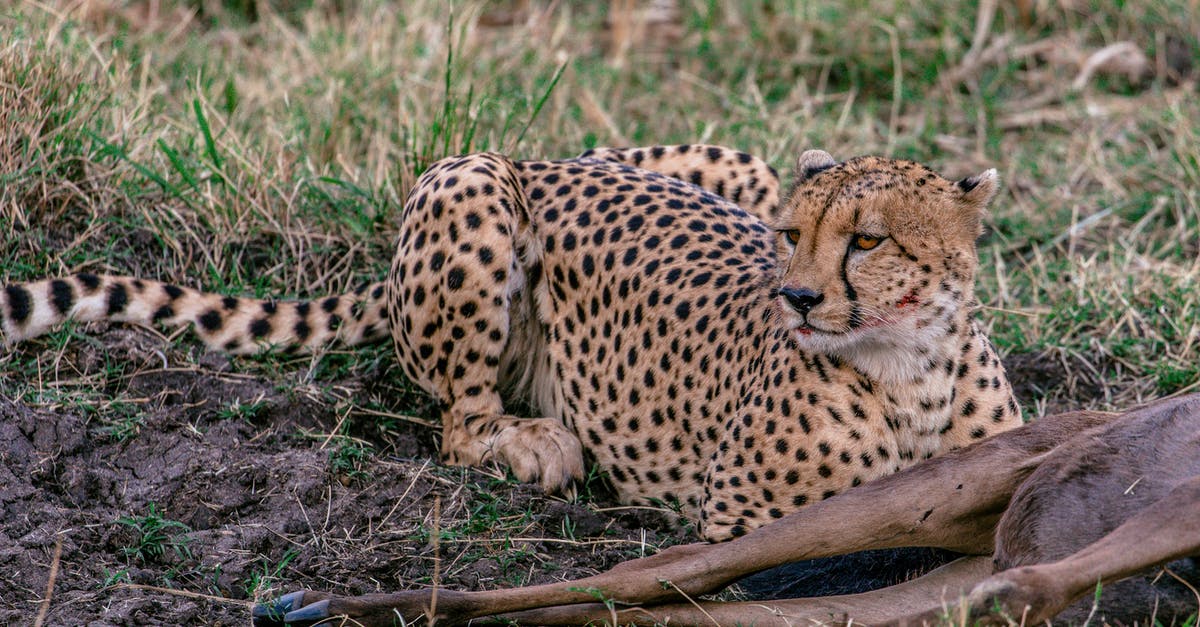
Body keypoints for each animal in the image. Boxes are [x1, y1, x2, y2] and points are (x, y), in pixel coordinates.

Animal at [1, 144, 1022, 541]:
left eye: (868, 239)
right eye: (790, 234)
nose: (799, 295)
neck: (909, 371)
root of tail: (554, 156)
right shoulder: (744, 518)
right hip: (468, 181)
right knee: (458, 421)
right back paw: (535, 442)